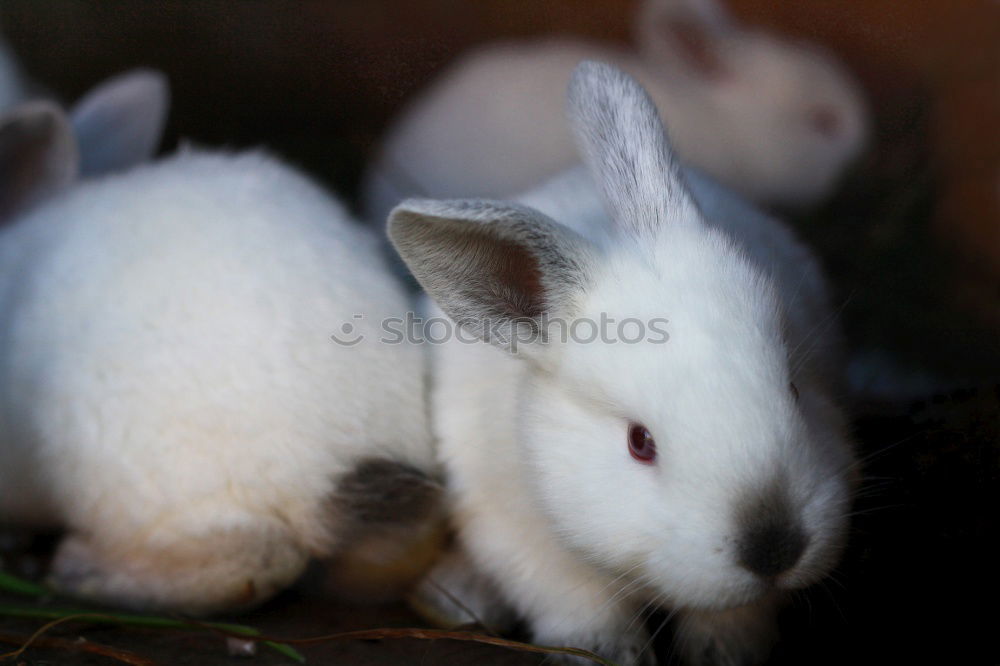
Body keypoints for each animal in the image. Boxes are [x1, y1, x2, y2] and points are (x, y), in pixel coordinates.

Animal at [386, 59, 856, 660]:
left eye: (795, 391)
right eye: (639, 442)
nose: (774, 548)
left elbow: (736, 615)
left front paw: (723, 653)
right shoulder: (521, 537)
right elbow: (577, 601)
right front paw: (605, 652)